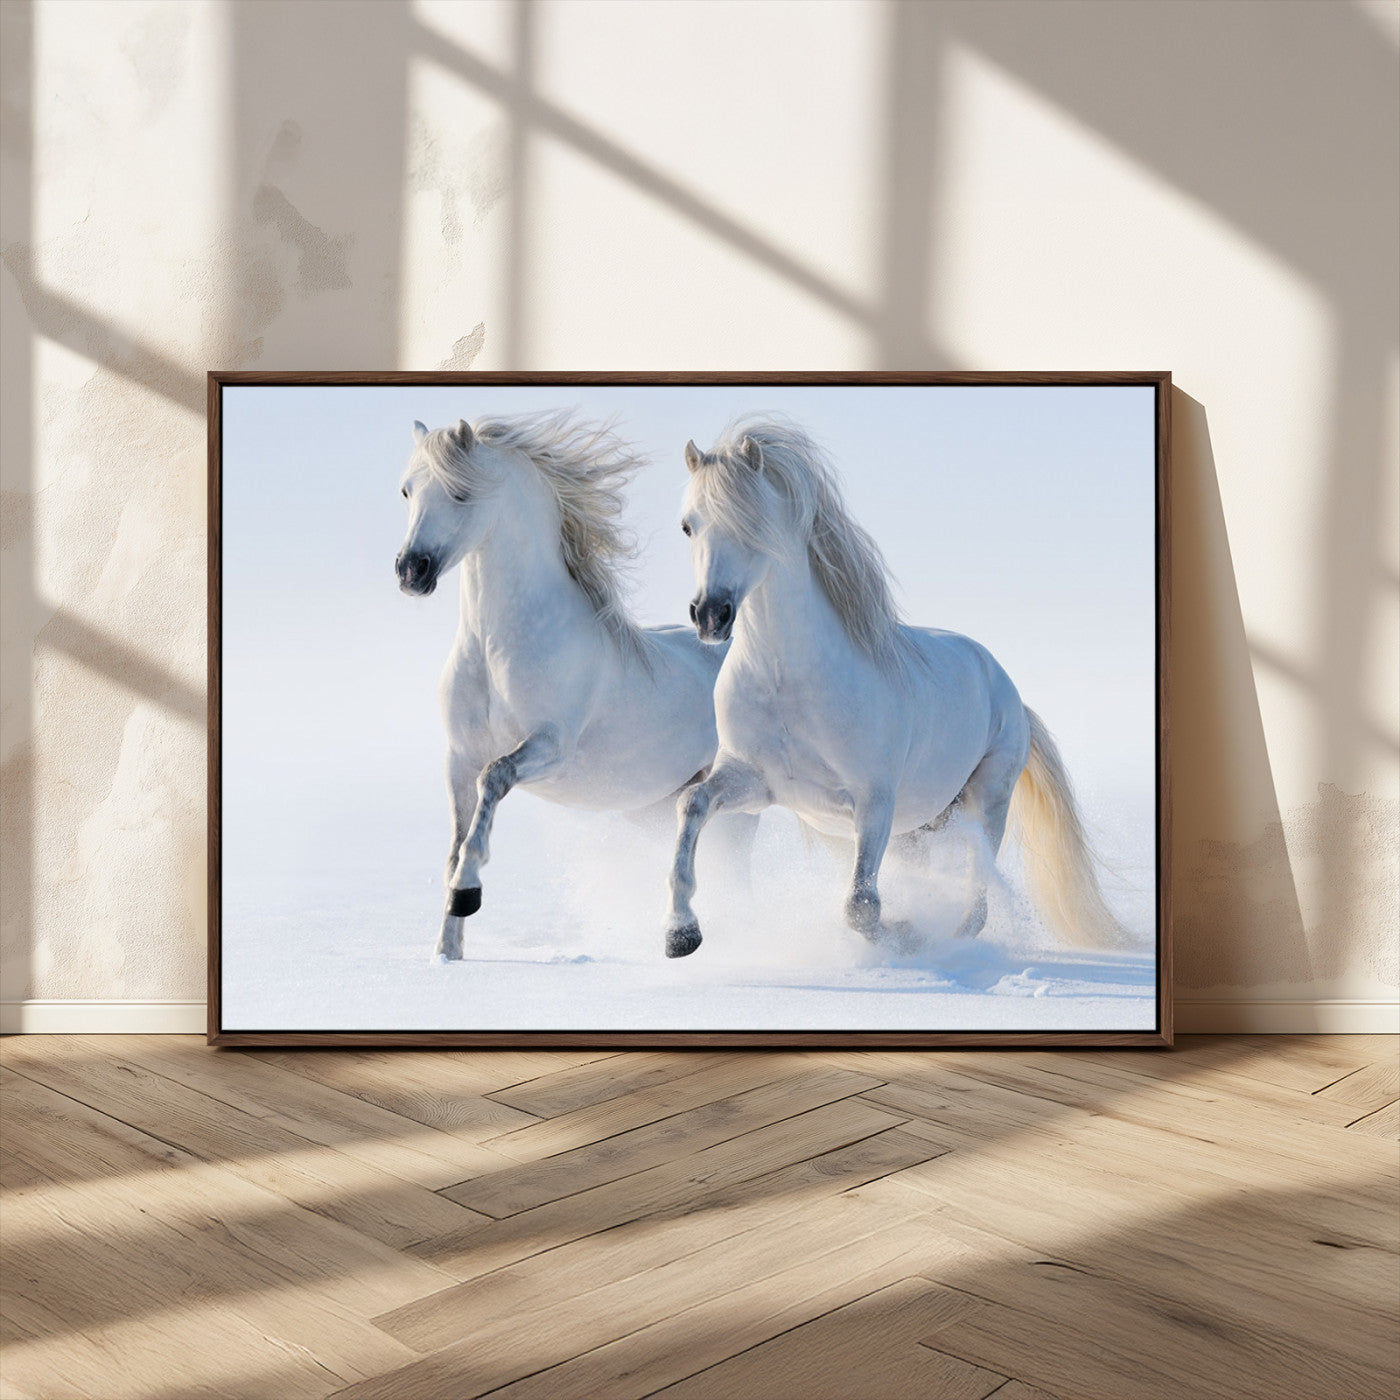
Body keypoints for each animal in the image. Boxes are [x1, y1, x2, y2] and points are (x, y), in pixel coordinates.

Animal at [395, 410, 743, 962]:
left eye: (460, 493)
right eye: (407, 490)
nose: (411, 570)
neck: (496, 647)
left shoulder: (550, 746)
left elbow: (493, 782)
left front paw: (468, 893)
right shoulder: (458, 757)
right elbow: (454, 843)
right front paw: (447, 951)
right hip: (654, 808)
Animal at [662, 415, 1130, 960]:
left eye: (751, 523)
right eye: (688, 525)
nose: (710, 615)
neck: (788, 682)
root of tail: (1008, 690)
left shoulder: (874, 803)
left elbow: (861, 906)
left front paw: (907, 935)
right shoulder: (754, 782)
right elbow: (691, 804)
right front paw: (680, 933)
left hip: (986, 800)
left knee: (978, 893)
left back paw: (950, 940)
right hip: (919, 827)